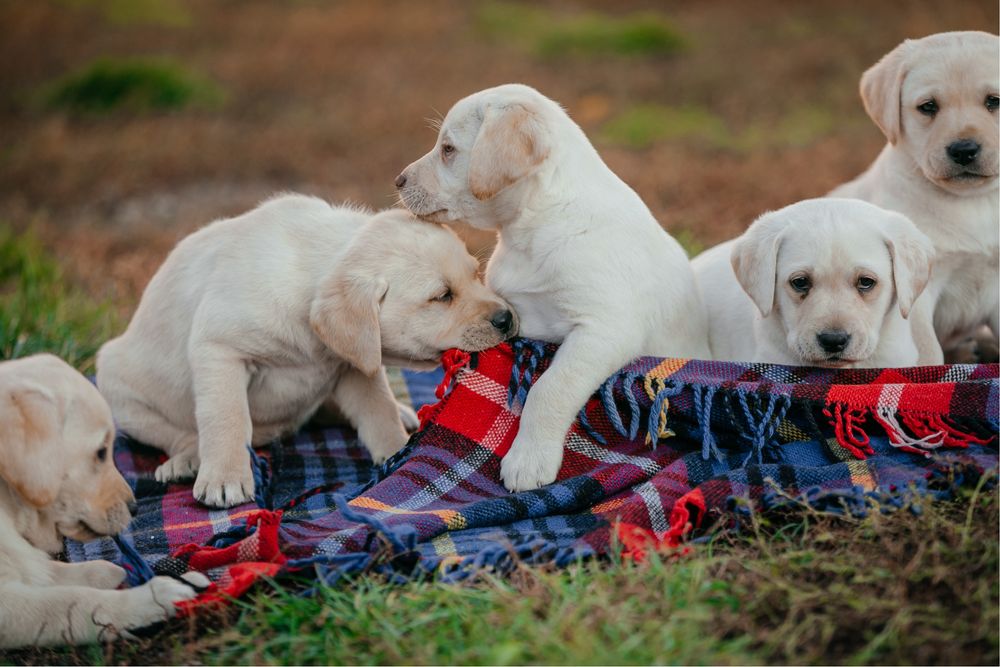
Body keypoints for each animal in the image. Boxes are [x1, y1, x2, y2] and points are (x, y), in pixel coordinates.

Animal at [0, 358, 206, 648]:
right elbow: (70, 602)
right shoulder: (9, 605)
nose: (134, 508)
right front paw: (150, 599)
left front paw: (179, 577)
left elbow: (81, 570)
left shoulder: (28, 561)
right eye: (100, 452)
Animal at [97, 196, 516, 508]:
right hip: (116, 383)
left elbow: (377, 410)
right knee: (175, 432)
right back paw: (187, 459)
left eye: (475, 274)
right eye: (442, 296)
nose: (508, 318)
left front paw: (396, 453)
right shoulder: (218, 347)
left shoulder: (352, 364)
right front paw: (226, 477)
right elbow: (225, 416)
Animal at [828, 32, 1000, 360]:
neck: (974, 201)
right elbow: (927, 350)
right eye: (928, 107)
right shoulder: (916, 292)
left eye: (994, 101)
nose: (963, 150)